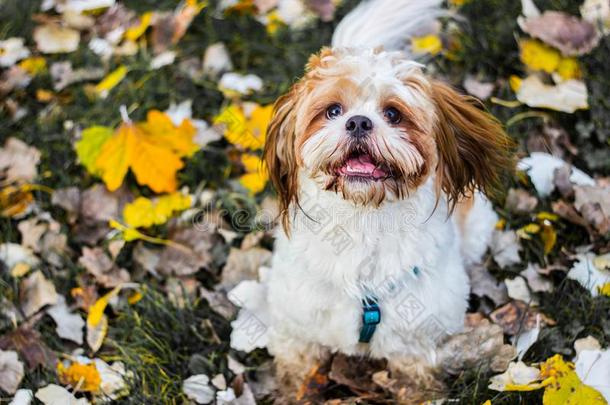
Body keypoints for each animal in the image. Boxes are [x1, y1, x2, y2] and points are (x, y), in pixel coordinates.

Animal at [233, 0, 512, 400]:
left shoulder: (415, 338)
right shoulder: (297, 329)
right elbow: (298, 373)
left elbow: (414, 380)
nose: (359, 122)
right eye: (333, 110)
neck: (362, 221)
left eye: (393, 113)